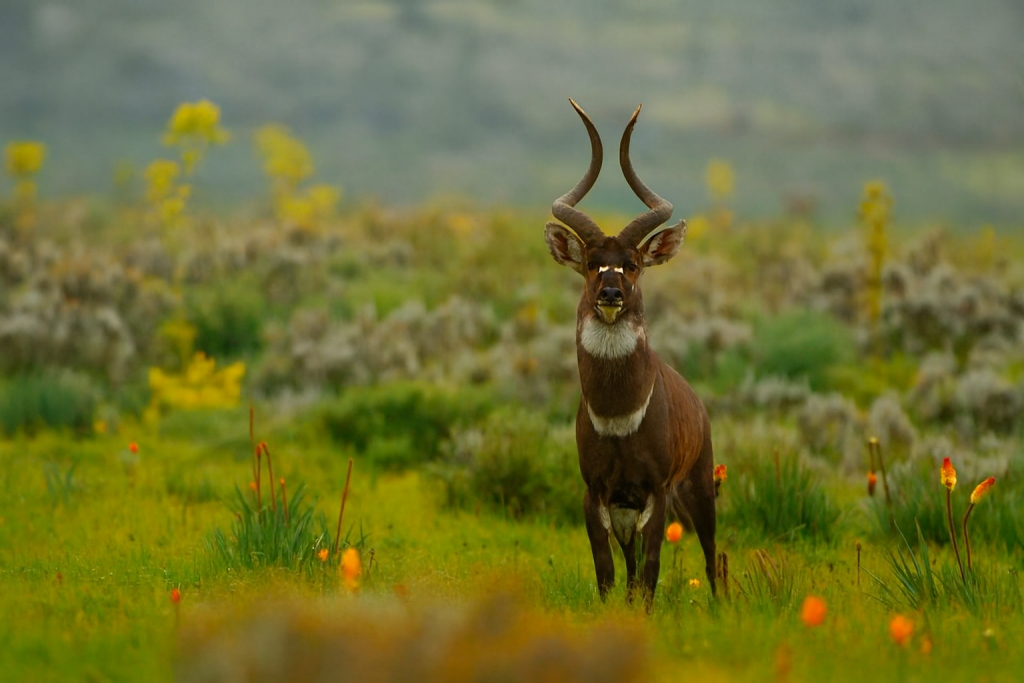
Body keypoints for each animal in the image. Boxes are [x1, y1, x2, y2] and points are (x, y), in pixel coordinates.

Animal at [544, 100, 716, 606]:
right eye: (590, 263)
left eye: (633, 264)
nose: (611, 293)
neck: (619, 414)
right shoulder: (597, 494)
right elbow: (608, 573)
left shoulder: (655, 494)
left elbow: (651, 573)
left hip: (699, 490)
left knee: (712, 555)